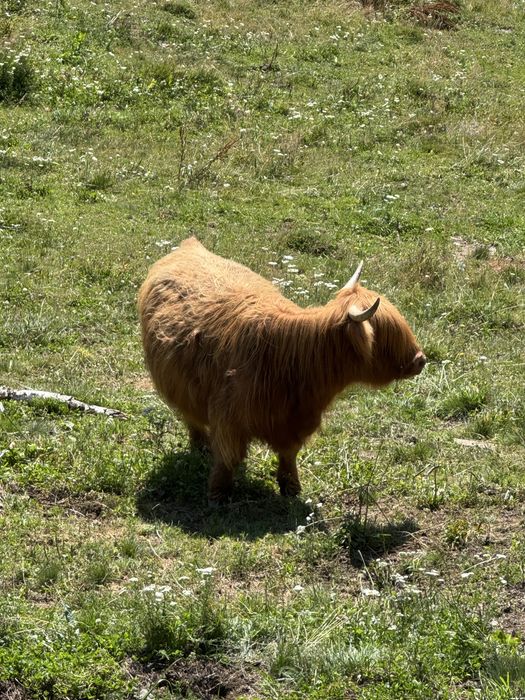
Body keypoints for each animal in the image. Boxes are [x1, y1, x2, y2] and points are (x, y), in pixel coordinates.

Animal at [138, 237, 426, 503]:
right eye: (387, 334)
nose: (420, 360)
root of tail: (191, 245)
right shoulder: (229, 419)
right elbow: (228, 458)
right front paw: (218, 494)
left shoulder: (295, 424)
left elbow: (288, 456)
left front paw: (291, 488)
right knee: (192, 419)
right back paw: (200, 447)